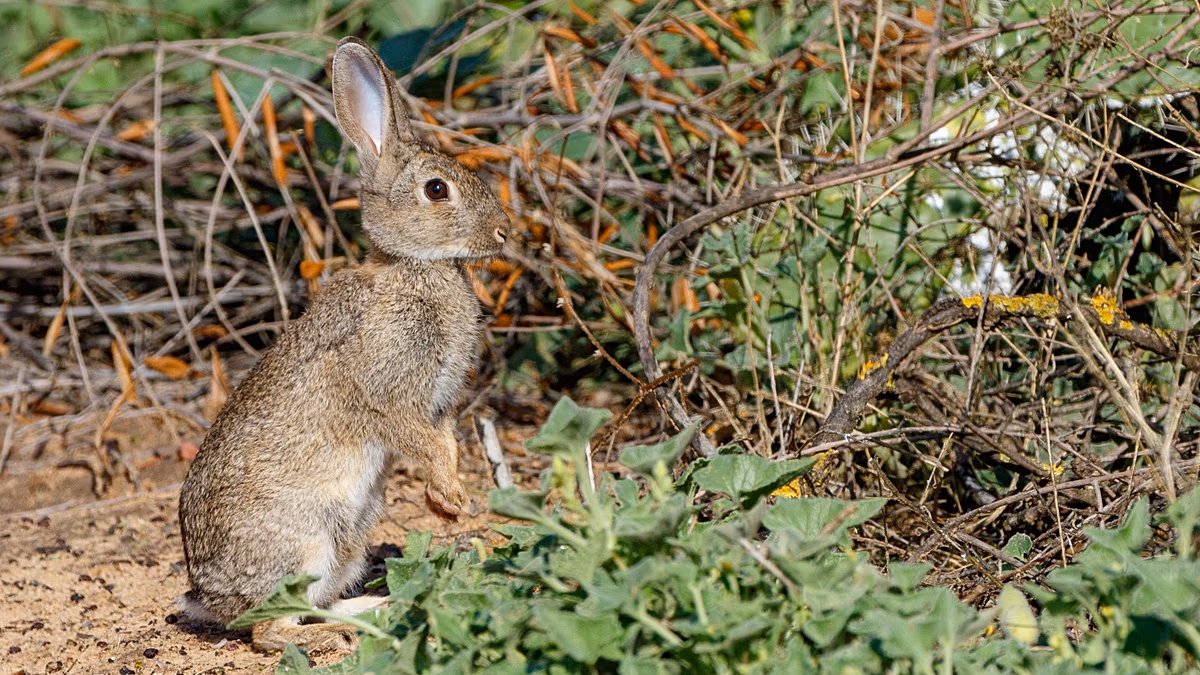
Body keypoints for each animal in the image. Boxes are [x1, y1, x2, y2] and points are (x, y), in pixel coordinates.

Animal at [177, 36, 509, 654]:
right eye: (436, 190)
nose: (504, 233)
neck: (413, 267)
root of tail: (207, 596)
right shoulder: (388, 392)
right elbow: (420, 441)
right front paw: (453, 496)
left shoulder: (439, 405)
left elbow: (446, 441)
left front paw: (446, 505)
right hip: (304, 542)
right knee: (271, 630)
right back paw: (342, 632)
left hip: (349, 537)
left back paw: (378, 607)